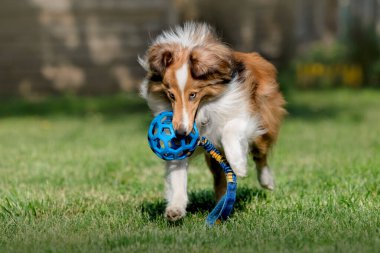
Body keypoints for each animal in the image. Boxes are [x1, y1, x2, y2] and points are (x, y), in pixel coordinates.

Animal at [139, 23, 284, 221]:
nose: (181, 133)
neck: (204, 109)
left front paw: (239, 165)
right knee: (221, 179)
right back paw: (221, 207)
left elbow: (229, 130)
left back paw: (266, 181)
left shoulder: (246, 116)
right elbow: (177, 176)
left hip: (264, 125)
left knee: (260, 156)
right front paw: (175, 208)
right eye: (171, 95)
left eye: (193, 94)